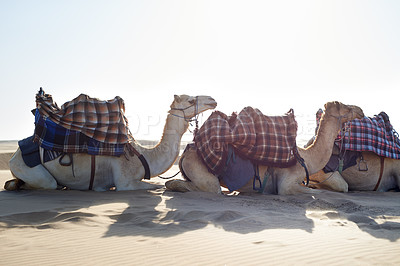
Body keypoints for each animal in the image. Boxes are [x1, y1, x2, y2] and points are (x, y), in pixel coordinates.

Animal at [4, 94, 217, 190]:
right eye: (190, 101)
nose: (212, 100)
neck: (143, 156)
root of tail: (13, 156)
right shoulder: (124, 181)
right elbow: (157, 186)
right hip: (27, 168)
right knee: (47, 183)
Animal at [164, 102, 364, 195]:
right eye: (345, 106)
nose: (360, 110)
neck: (306, 157)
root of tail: (187, 151)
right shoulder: (286, 184)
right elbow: (317, 191)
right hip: (204, 174)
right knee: (208, 188)